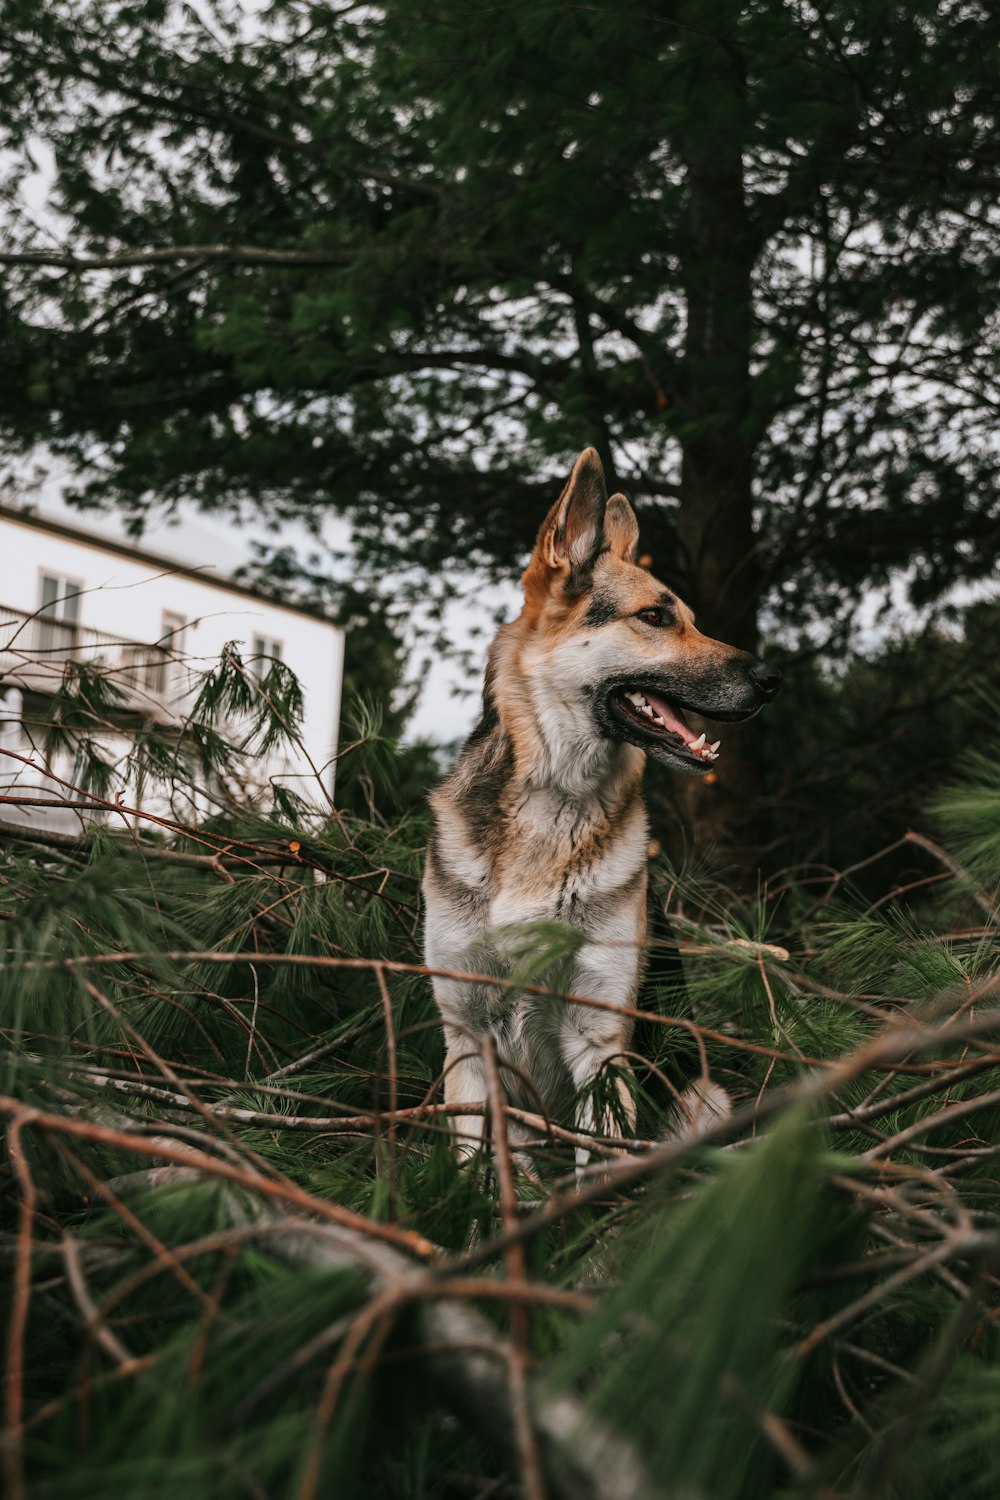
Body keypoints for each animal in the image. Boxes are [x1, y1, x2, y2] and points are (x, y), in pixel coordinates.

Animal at [422, 447, 779, 1170]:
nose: (772, 680)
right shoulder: (467, 1040)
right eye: (656, 618)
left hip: (703, 1096)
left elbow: (598, 1168)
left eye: (687, 617)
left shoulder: (599, 1043)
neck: (552, 797)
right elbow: (473, 1168)